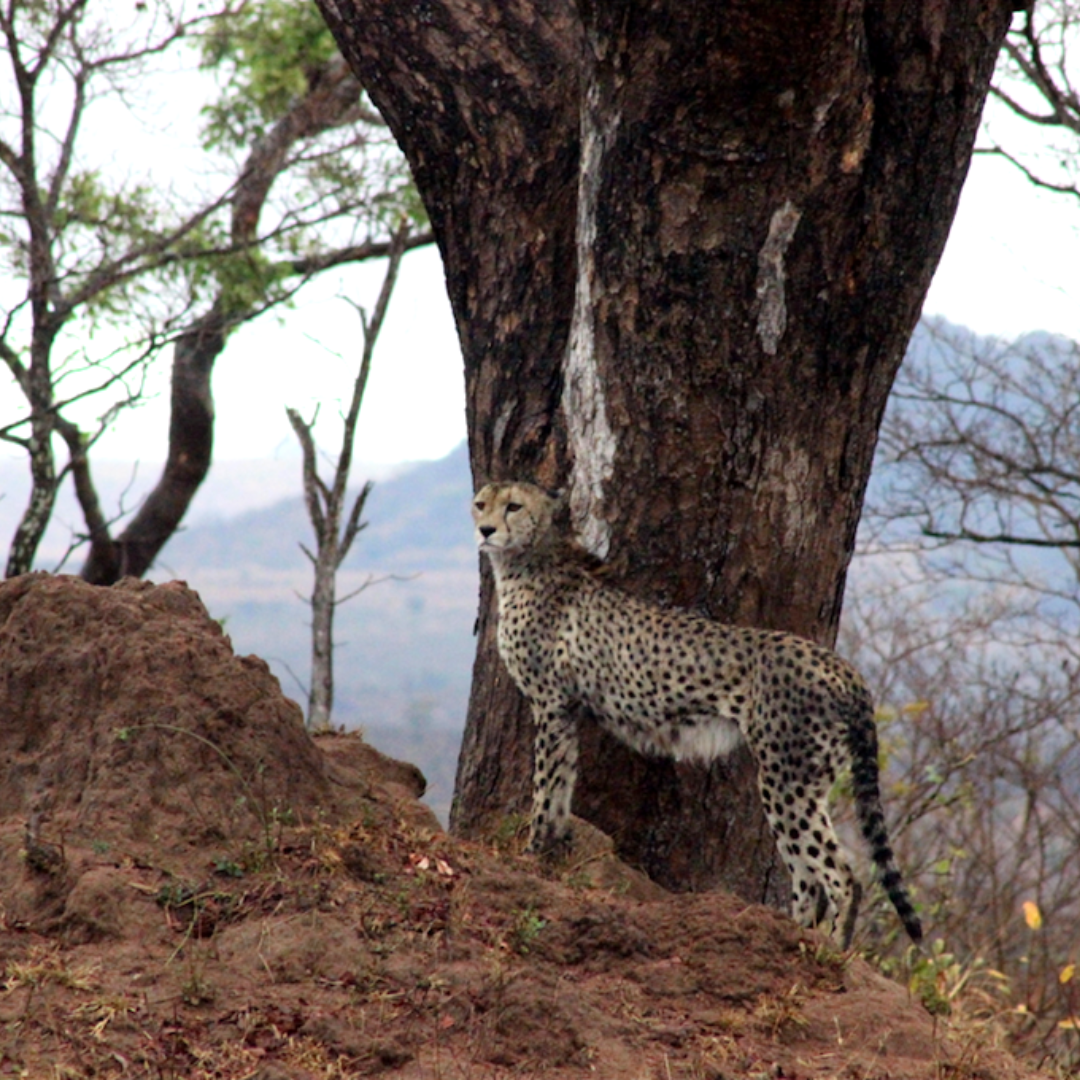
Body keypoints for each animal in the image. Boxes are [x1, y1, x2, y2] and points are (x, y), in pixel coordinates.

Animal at [470, 481, 920, 946]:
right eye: (480, 504)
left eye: (513, 506)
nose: (485, 530)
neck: (529, 556)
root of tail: (842, 665)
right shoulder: (565, 710)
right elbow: (561, 785)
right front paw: (552, 850)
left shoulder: (550, 703)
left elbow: (544, 788)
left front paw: (530, 853)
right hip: (801, 779)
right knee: (805, 876)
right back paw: (788, 932)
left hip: (787, 778)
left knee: (841, 875)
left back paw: (828, 948)